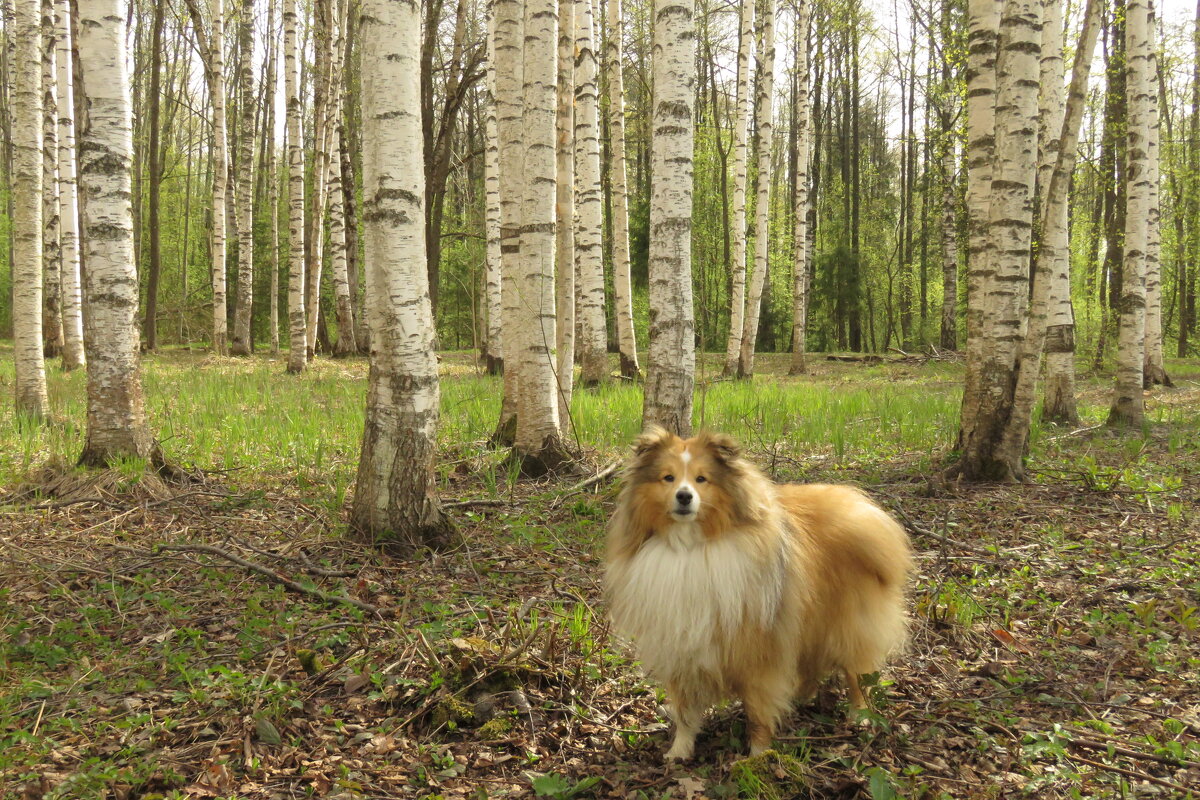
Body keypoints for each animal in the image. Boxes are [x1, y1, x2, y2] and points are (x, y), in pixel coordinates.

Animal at [609, 429, 907, 762]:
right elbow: (684, 712)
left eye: (702, 479)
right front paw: (679, 751)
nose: (684, 496)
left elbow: (757, 712)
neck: (691, 547)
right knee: (811, 667)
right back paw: (801, 698)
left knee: (857, 676)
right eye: (668, 477)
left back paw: (860, 716)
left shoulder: (759, 653)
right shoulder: (681, 648)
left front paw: (758, 756)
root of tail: (863, 514)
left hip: (846, 627)